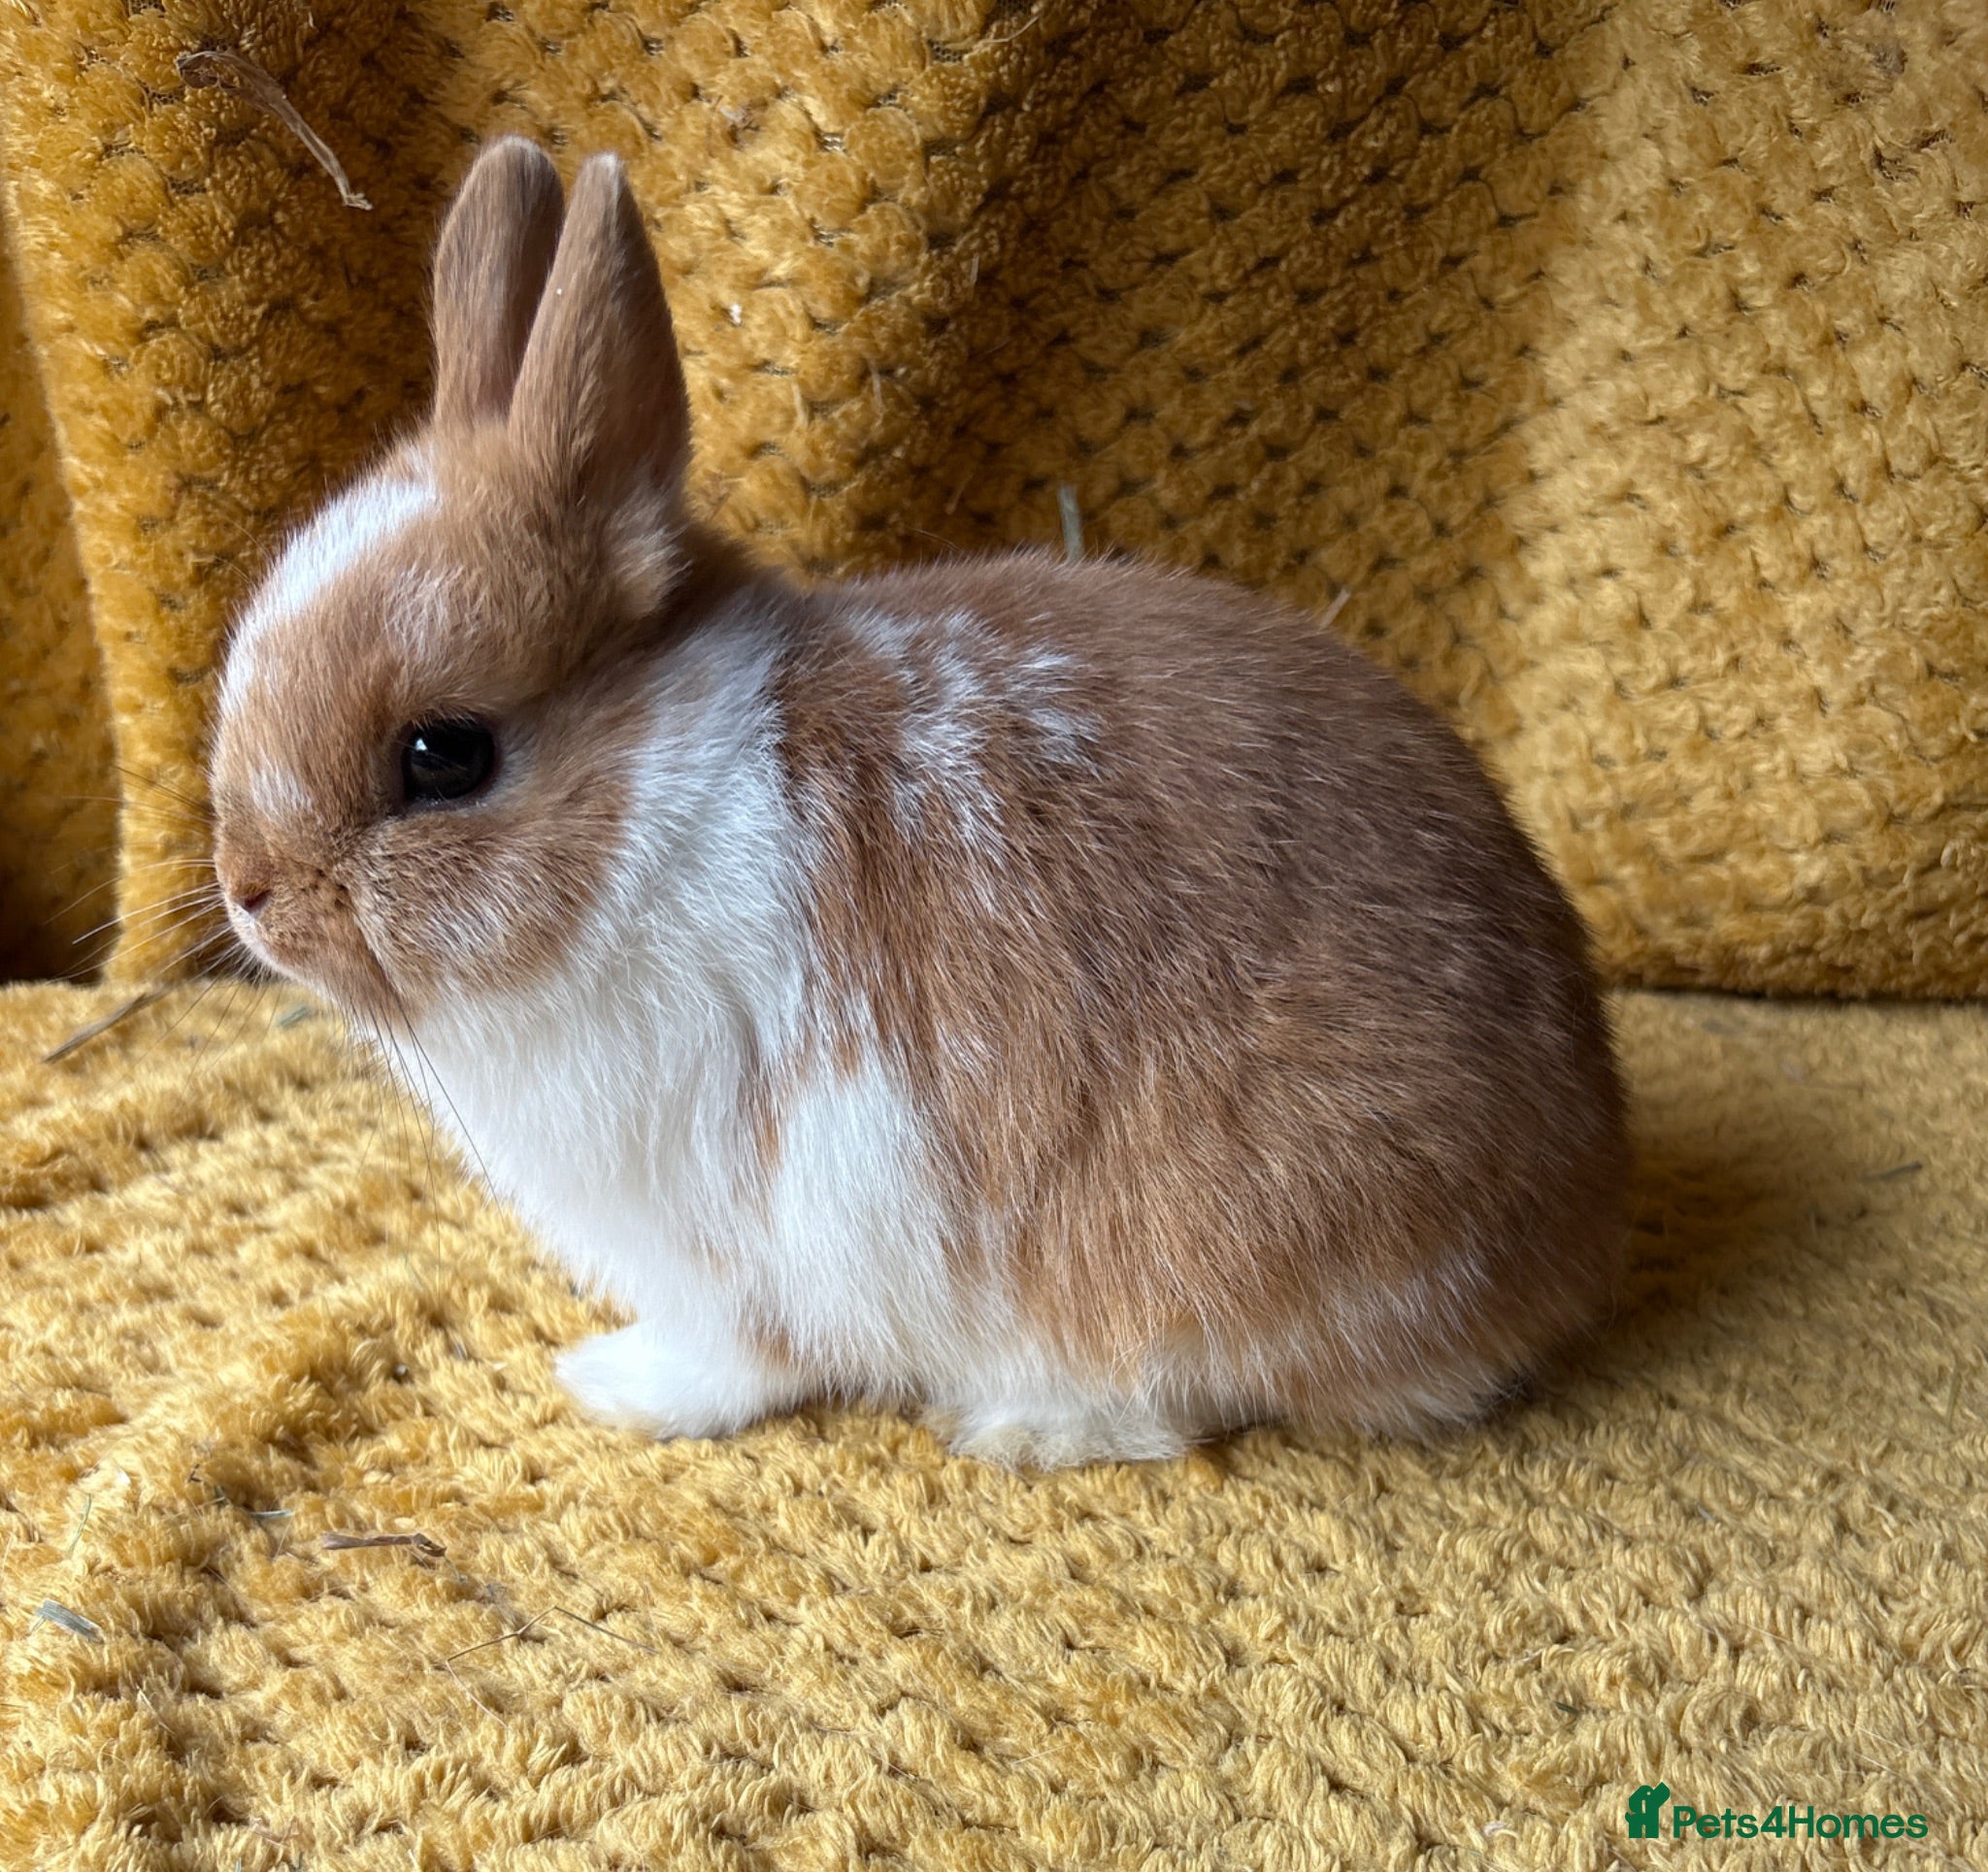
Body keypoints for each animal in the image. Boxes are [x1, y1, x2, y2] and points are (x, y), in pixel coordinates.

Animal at [207, 136, 1630, 1469]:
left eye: (443, 755)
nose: (252, 893)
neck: (650, 796)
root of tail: (1573, 1211)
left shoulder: (733, 1240)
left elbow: (737, 1359)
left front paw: (612, 1388)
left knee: (1185, 1397)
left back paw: (1021, 1425)